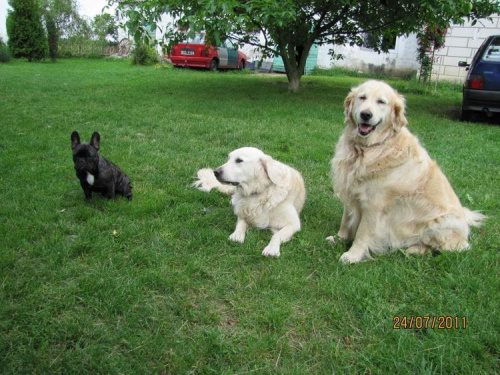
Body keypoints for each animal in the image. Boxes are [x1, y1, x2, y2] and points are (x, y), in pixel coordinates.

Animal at [330, 81, 486, 264]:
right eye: (362, 97)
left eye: (381, 102)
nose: (366, 114)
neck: (370, 147)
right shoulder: (350, 191)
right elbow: (346, 220)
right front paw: (339, 239)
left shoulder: (374, 204)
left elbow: (363, 232)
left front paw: (353, 255)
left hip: (439, 223)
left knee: (443, 249)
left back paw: (412, 249)